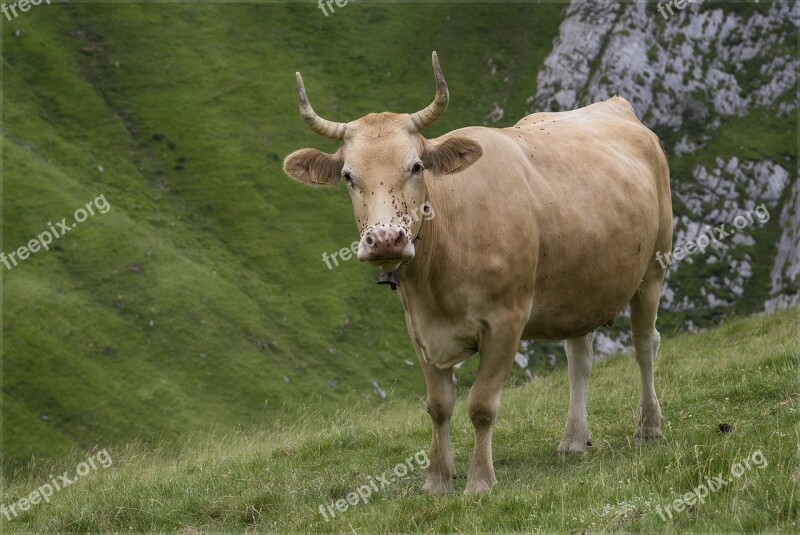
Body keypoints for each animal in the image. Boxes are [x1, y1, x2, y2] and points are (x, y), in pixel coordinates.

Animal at [284, 53, 672, 494]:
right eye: (348, 175)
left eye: (416, 166)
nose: (385, 240)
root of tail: (614, 105)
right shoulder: (419, 329)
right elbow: (438, 406)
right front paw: (436, 480)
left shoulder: (507, 320)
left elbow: (482, 405)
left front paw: (479, 481)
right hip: (581, 286)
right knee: (580, 358)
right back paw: (574, 439)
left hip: (654, 266)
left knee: (645, 344)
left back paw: (648, 428)